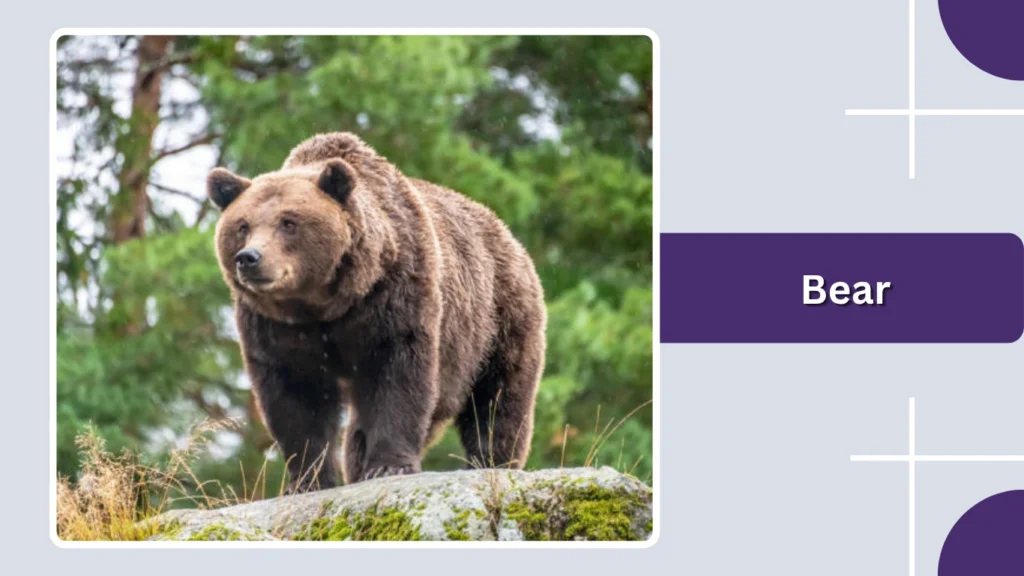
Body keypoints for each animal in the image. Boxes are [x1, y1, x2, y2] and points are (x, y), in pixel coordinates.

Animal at [207, 132, 546, 492]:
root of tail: (503, 229)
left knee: (499, 397)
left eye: (288, 222)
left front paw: (388, 466)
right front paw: (306, 480)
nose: (249, 258)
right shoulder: (275, 328)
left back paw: (493, 461)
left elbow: (399, 376)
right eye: (242, 225)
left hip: (497, 318)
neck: (324, 305)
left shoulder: (395, 297)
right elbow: (295, 396)